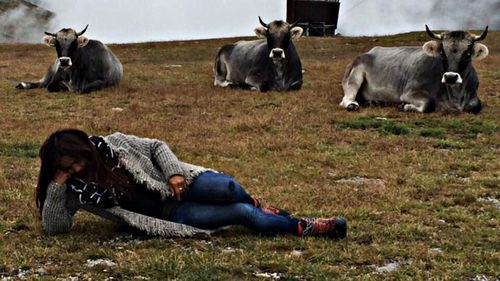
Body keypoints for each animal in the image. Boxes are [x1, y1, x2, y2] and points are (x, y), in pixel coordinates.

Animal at [340, 25, 488, 112]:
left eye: (467, 54)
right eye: (442, 53)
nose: (450, 77)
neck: (455, 96)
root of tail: (371, 51)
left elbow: (476, 105)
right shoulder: (409, 93)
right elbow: (429, 103)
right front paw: (405, 106)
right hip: (354, 76)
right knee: (346, 99)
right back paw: (352, 105)